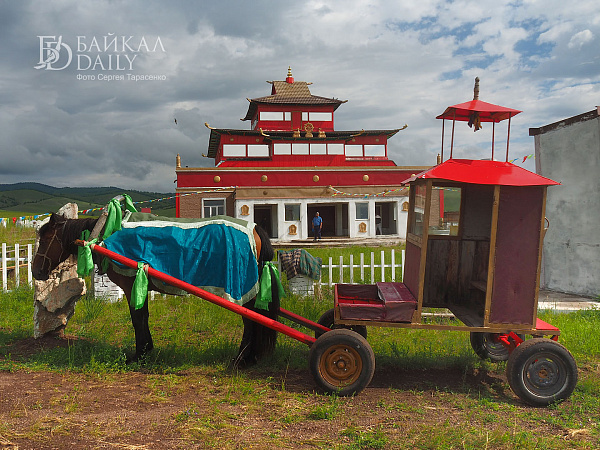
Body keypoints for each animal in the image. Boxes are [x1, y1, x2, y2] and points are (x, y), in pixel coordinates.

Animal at [34, 214, 282, 366]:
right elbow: (143, 317)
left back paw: (242, 359)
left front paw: (138, 354)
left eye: (45, 239)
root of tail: (255, 229)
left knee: (251, 321)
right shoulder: (139, 284)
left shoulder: (132, 285)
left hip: (244, 290)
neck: (106, 234)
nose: (37, 271)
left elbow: (137, 319)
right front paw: (145, 350)